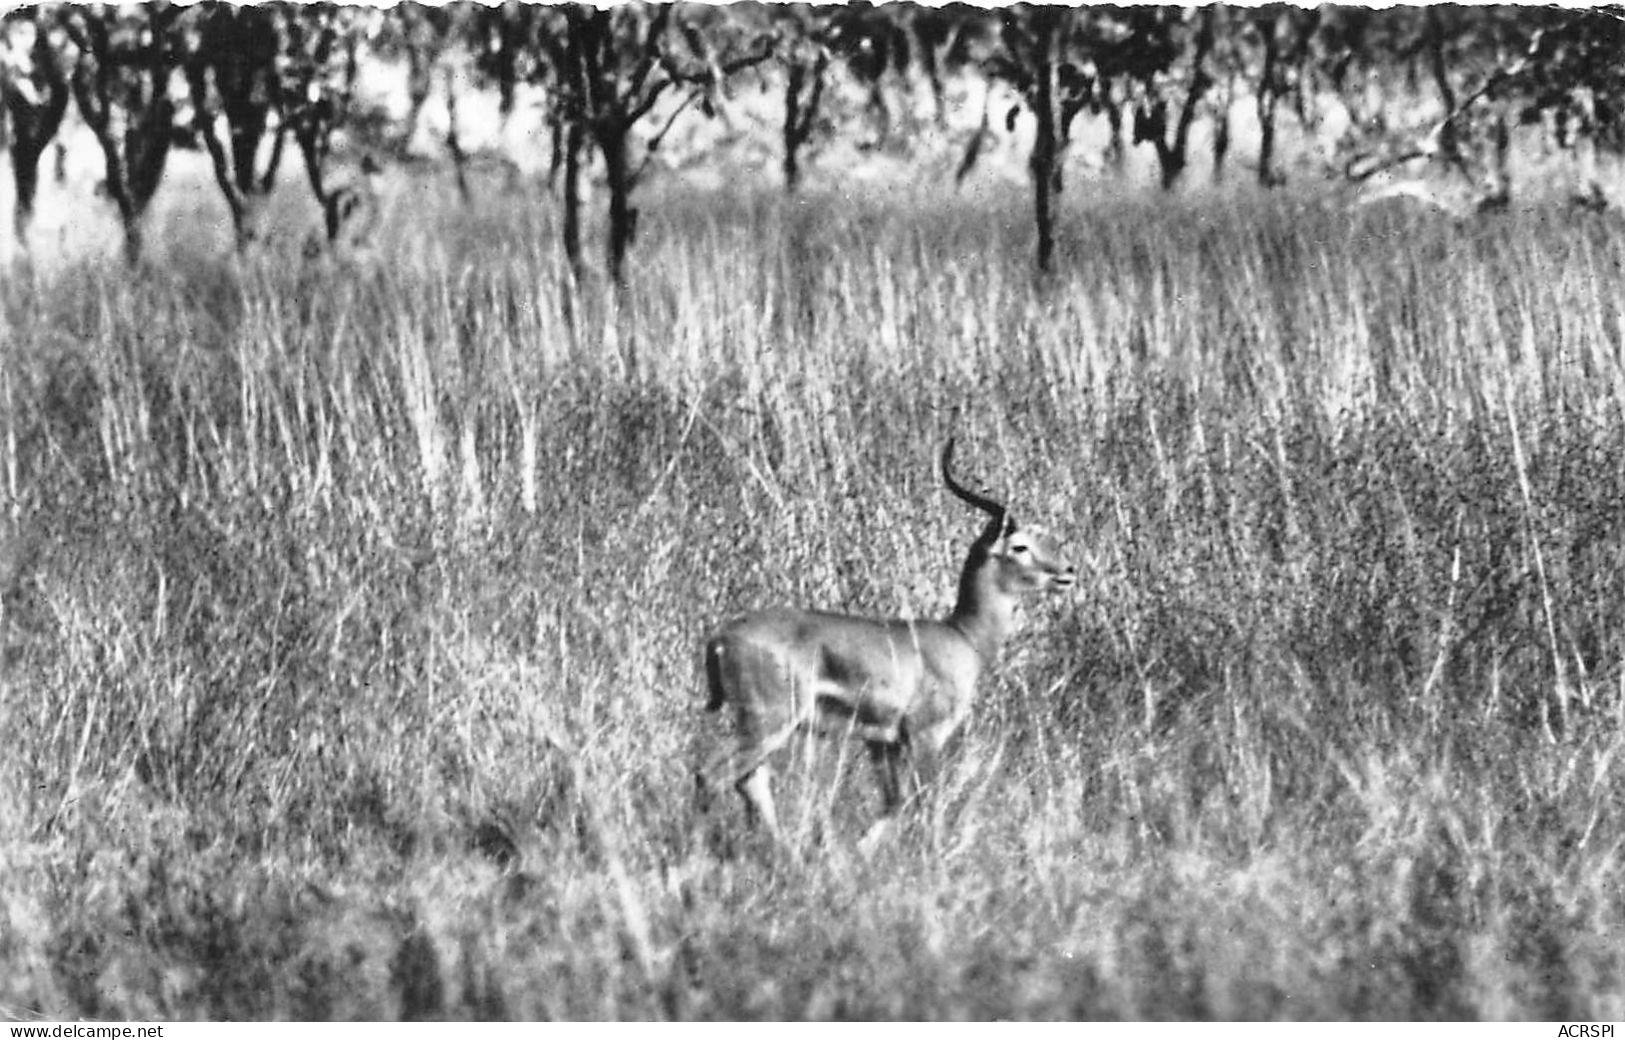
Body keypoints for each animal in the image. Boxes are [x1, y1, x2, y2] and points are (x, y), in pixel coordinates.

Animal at [702, 438, 1072, 845]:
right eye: (1019, 546)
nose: (1067, 571)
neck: (963, 636)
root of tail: (722, 636)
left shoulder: (882, 743)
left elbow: (894, 805)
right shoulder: (925, 736)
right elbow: (926, 806)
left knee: (749, 782)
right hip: (769, 722)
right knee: (712, 775)